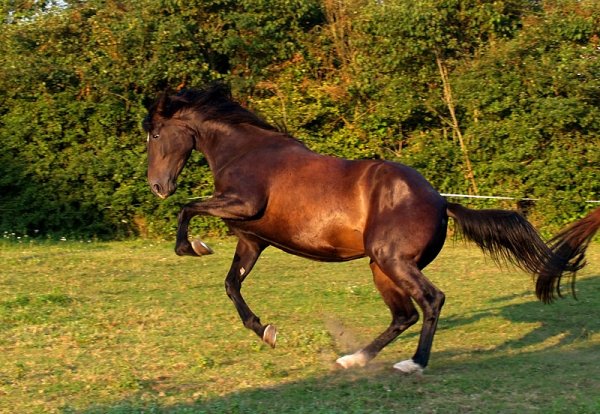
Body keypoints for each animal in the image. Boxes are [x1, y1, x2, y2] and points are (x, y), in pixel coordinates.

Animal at [143, 82, 588, 374]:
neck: (245, 151)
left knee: (431, 301)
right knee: (403, 316)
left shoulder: (243, 203)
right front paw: (266, 331)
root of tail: (441, 201)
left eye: (157, 133)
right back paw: (354, 358)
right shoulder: (252, 240)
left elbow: (188, 208)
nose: (158, 186)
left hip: (391, 261)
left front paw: (192, 247)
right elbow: (231, 285)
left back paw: (413, 363)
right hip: (380, 267)